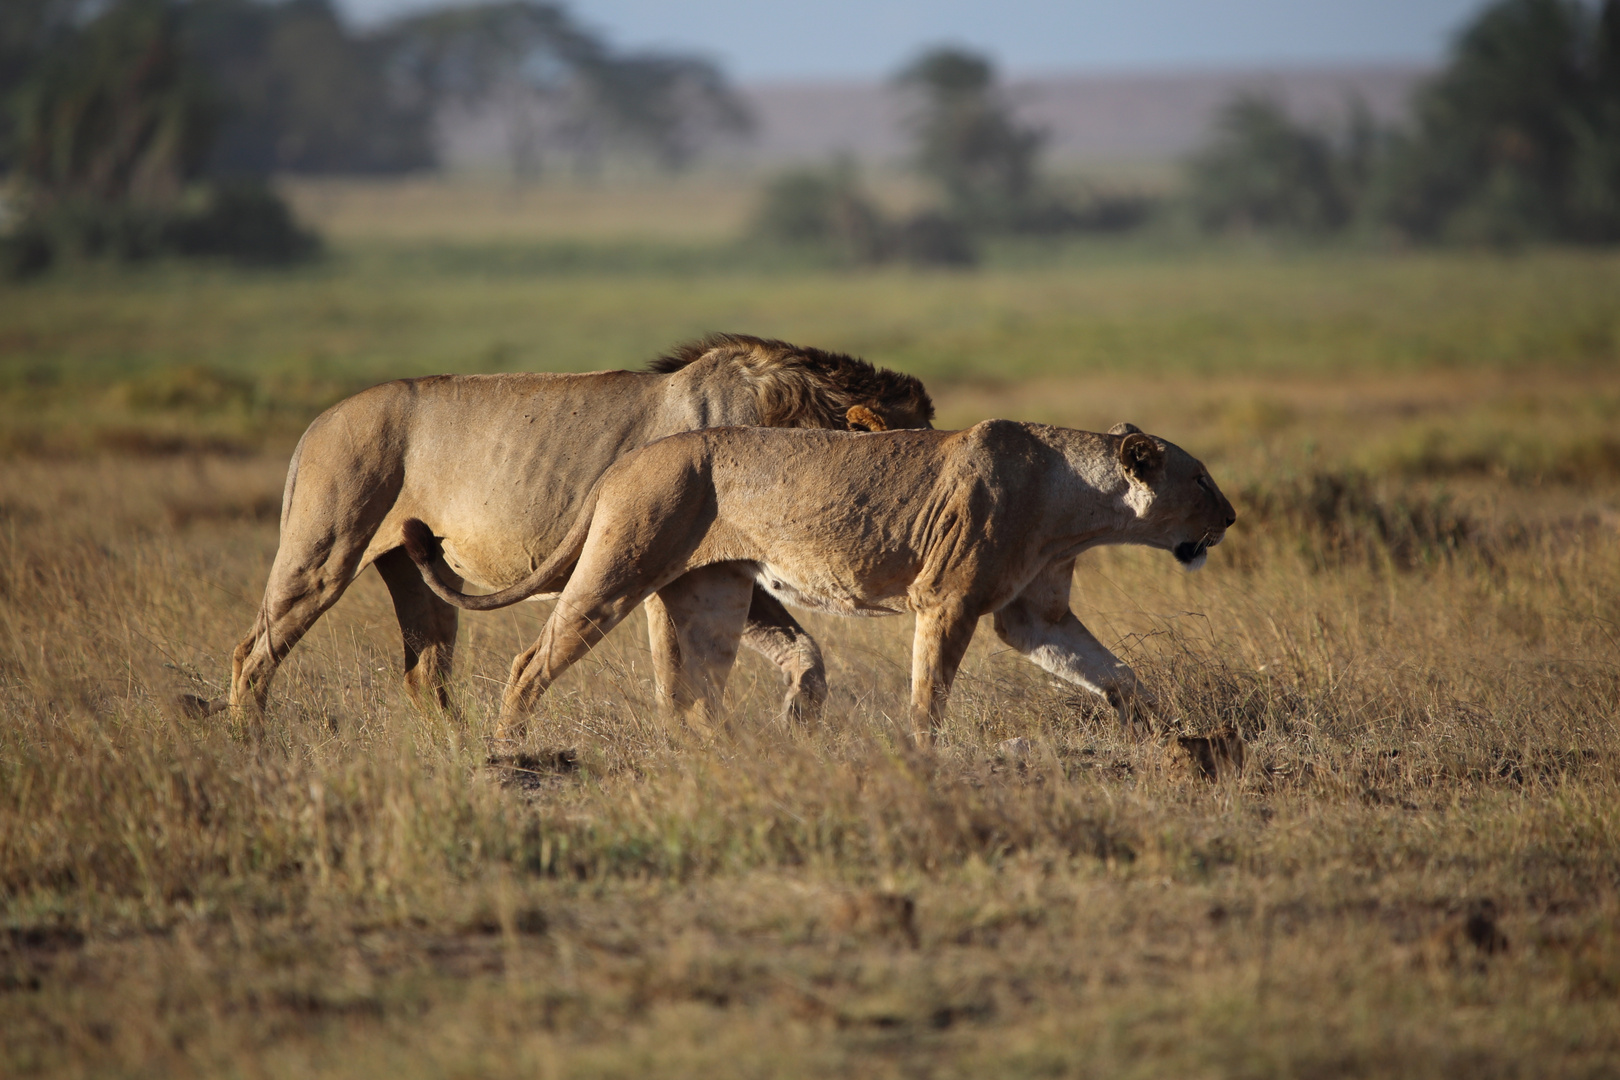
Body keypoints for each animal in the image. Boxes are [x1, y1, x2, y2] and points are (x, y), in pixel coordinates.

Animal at [228, 333, 939, 722]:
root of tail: (315, 424)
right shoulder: (674, 572)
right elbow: (683, 680)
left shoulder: (731, 570)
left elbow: (804, 654)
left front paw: (796, 720)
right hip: (322, 554)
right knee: (253, 653)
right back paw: (249, 744)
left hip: (415, 573)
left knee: (425, 674)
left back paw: (458, 752)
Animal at [398, 420, 1231, 744]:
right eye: (1201, 478)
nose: (1230, 515)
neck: (1078, 508)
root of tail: (629, 459)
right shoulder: (948, 599)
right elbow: (930, 692)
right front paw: (923, 751)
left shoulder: (1034, 617)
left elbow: (1113, 672)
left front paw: (1166, 731)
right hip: (618, 570)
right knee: (529, 661)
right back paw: (508, 750)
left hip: (712, 594)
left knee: (688, 691)